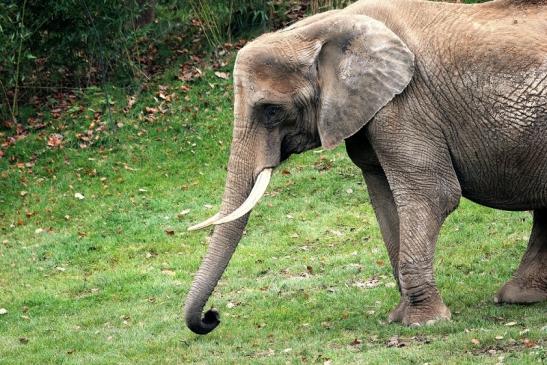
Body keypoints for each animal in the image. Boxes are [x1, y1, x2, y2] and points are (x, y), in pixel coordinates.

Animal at [185, 0, 547, 334]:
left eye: (271, 111)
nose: (212, 317)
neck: (322, 29)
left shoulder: (405, 103)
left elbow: (434, 195)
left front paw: (423, 322)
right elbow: (385, 198)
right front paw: (400, 316)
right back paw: (519, 297)